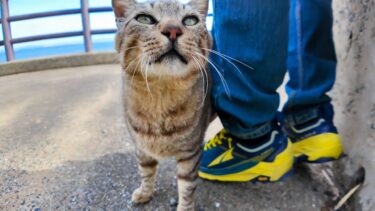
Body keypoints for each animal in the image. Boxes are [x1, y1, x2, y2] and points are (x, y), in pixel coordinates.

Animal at [111, 0, 212, 209]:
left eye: (190, 20)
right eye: (144, 18)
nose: (173, 30)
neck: (160, 97)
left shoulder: (191, 152)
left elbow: (187, 187)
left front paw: (184, 207)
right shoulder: (141, 148)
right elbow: (146, 172)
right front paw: (145, 192)